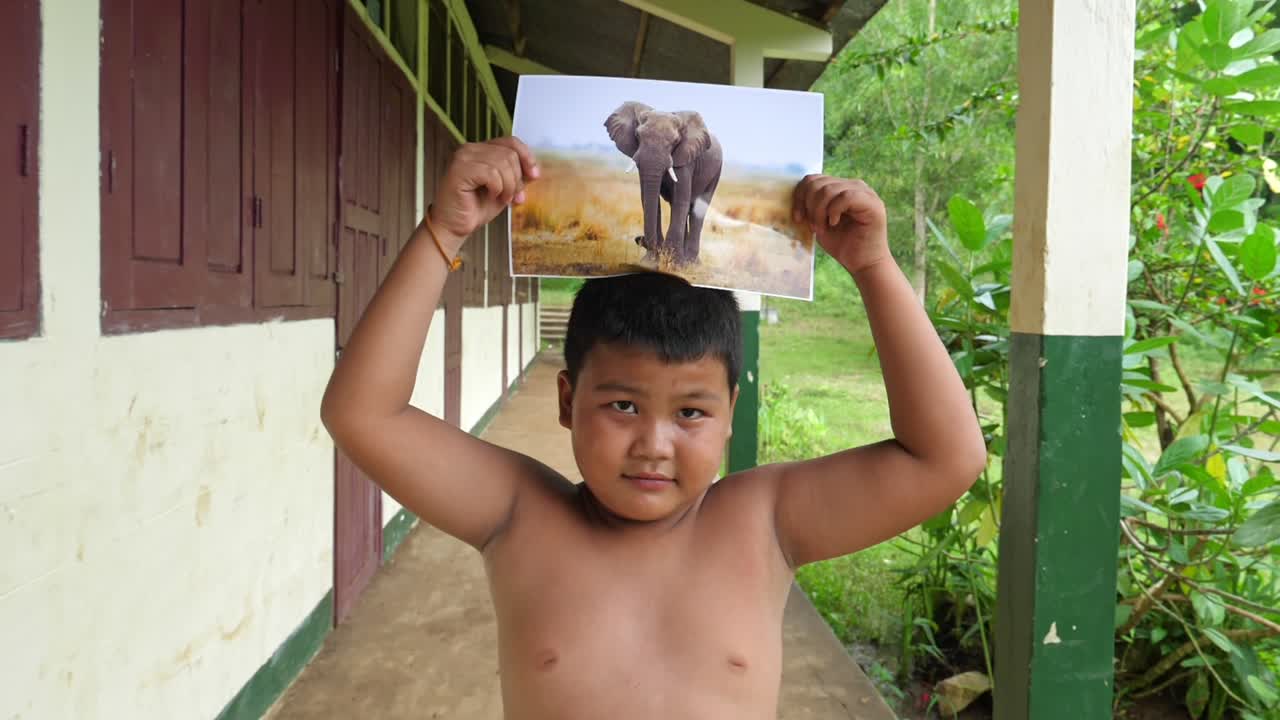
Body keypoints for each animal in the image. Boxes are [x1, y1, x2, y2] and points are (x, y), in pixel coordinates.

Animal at [604, 101, 723, 265]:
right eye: (637, 136)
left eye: (675, 142)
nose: (639, 239)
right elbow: (648, 198)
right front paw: (650, 262)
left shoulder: (686, 158)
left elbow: (681, 200)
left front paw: (674, 264)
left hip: (716, 173)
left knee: (696, 210)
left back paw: (691, 263)